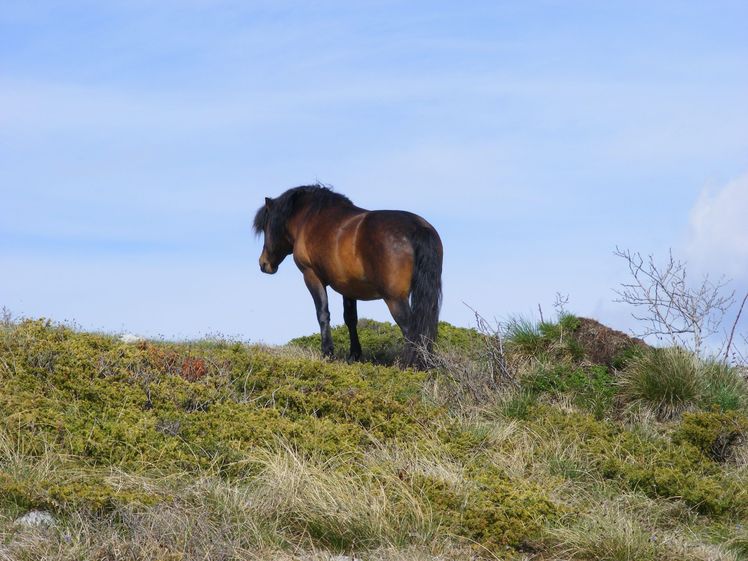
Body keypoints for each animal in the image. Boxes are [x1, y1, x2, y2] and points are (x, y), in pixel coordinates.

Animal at [254, 185, 442, 368]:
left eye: (265, 226)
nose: (264, 263)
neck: (310, 219)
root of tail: (418, 227)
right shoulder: (349, 287)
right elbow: (350, 319)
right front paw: (354, 356)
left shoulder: (312, 276)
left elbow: (322, 313)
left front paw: (327, 353)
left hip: (395, 298)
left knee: (411, 329)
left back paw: (410, 366)